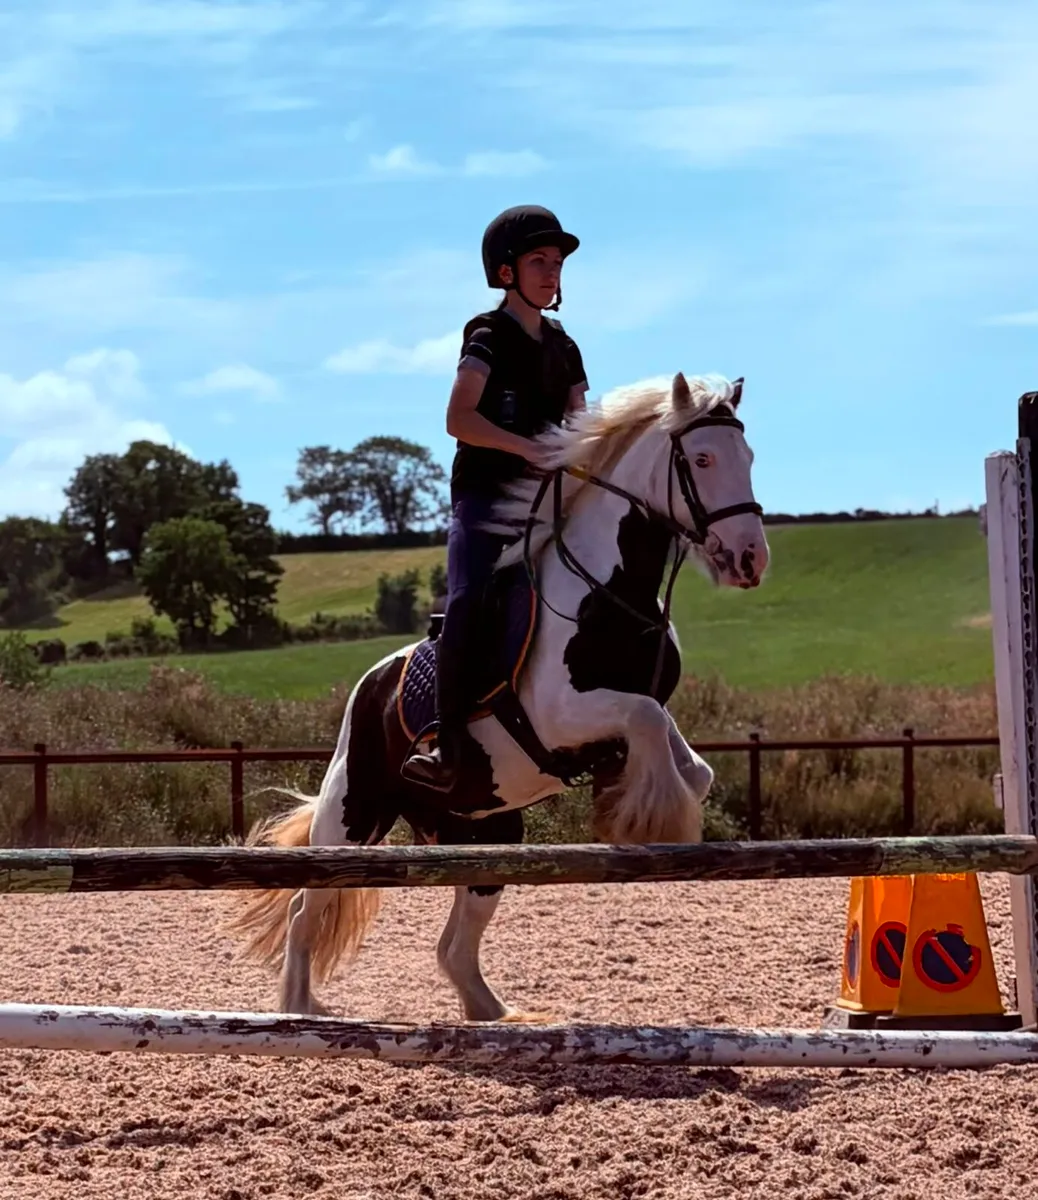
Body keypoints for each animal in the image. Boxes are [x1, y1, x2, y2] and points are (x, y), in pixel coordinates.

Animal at [228, 371, 769, 1021]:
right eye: (703, 458)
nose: (750, 559)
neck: (610, 592)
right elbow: (646, 721)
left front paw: (635, 794)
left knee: (452, 944)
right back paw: (298, 1008)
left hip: (487, 832)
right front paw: (647, 818)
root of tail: (372, 685)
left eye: (750, 457)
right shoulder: (561, 714)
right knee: (306, 910)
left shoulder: (635, 709)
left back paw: (493, 1013)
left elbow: (685, 757)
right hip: (353, 816)